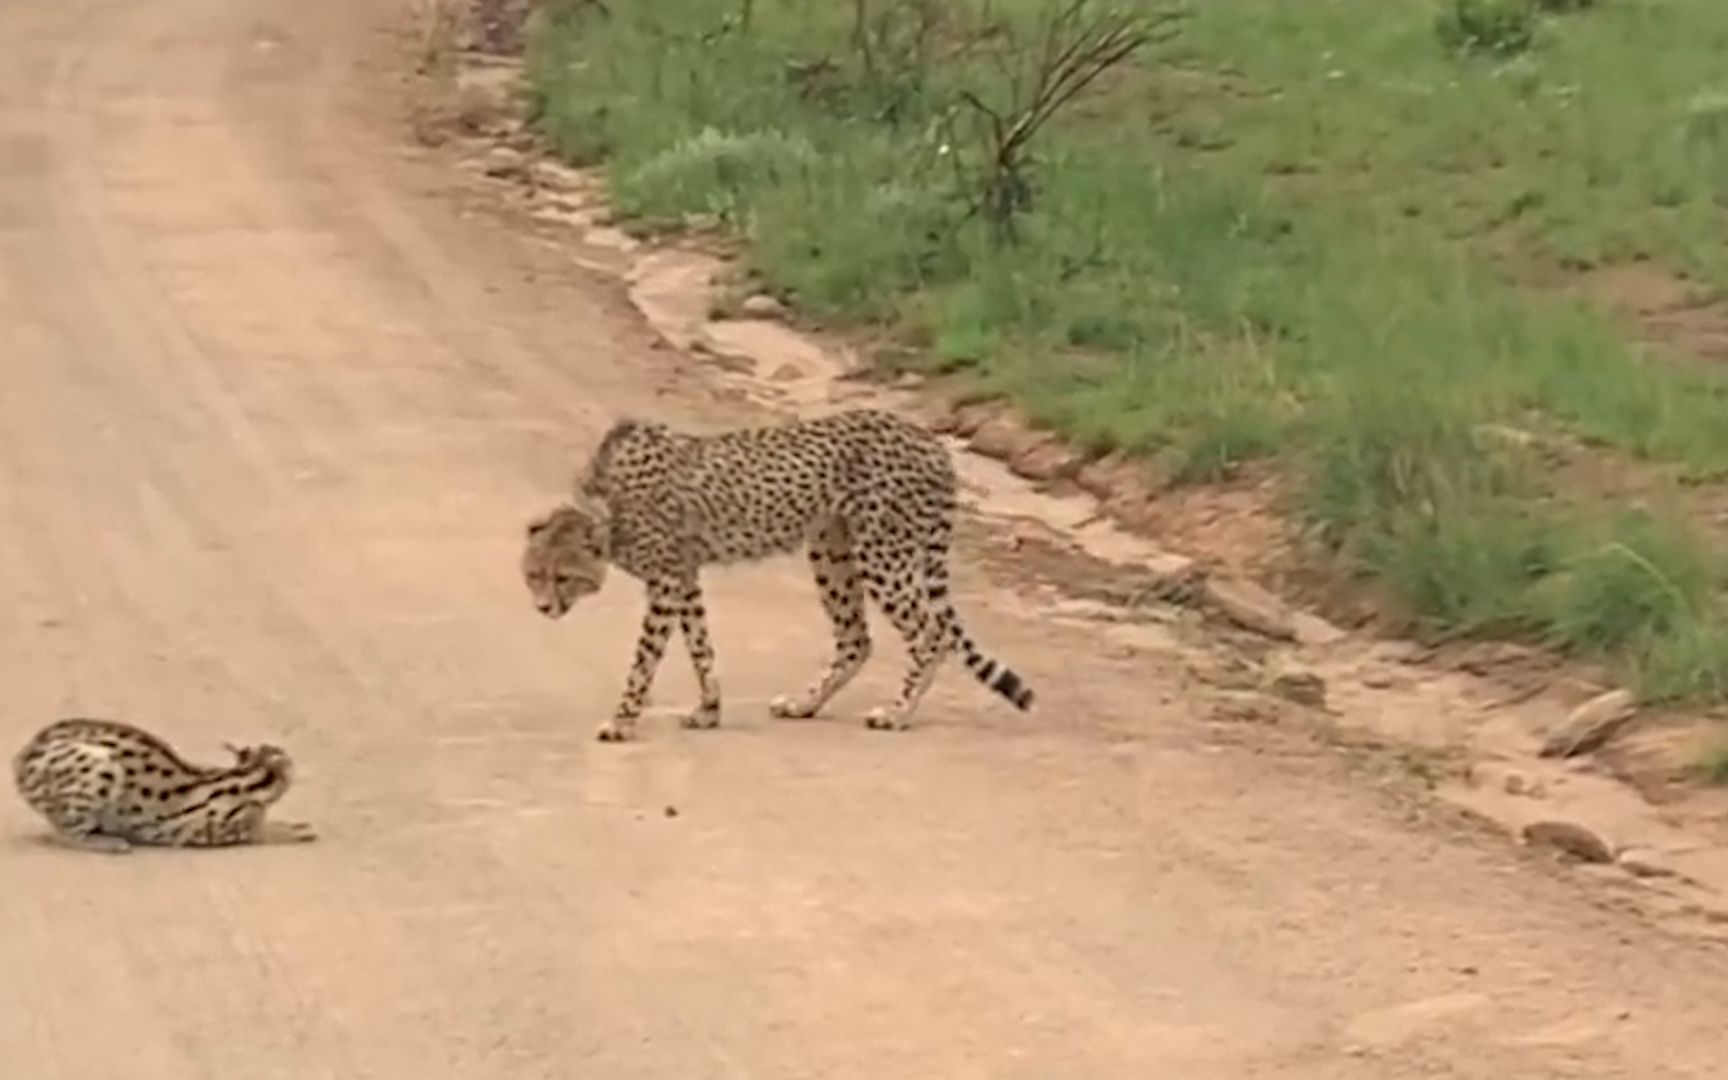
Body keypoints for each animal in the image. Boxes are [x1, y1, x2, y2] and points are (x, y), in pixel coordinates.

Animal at [11, 715, 317, 850]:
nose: (290, 759)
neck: (247, 775)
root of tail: (21, 760)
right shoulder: (228, 829)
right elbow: (266, 831)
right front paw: (296, 830)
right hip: (98, 770)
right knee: (65, 834)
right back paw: (104, 840)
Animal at [518, 406, 1029, 739]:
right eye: (534, 575)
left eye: (563, 578)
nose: (542, 608)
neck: (607, 503)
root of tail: (929, 439)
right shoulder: (684, 577)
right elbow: (700, 645)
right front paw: (709, 710)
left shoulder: (665, 581)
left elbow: (645, 659)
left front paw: (622, 720)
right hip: (831, 550)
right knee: (856, 638)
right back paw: (806, 704)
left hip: (882, 553)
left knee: (931, 633)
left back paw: (897, 713)